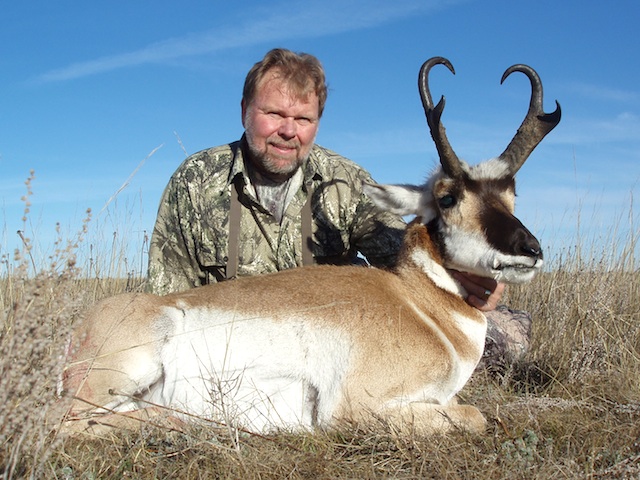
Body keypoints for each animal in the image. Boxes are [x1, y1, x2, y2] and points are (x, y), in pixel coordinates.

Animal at [60, 58, 560, 436]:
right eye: (448, 197)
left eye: (512, 195)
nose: (530, 249)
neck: (421, 305)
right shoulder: (355, 407)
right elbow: (474, 415)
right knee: (69, 420)